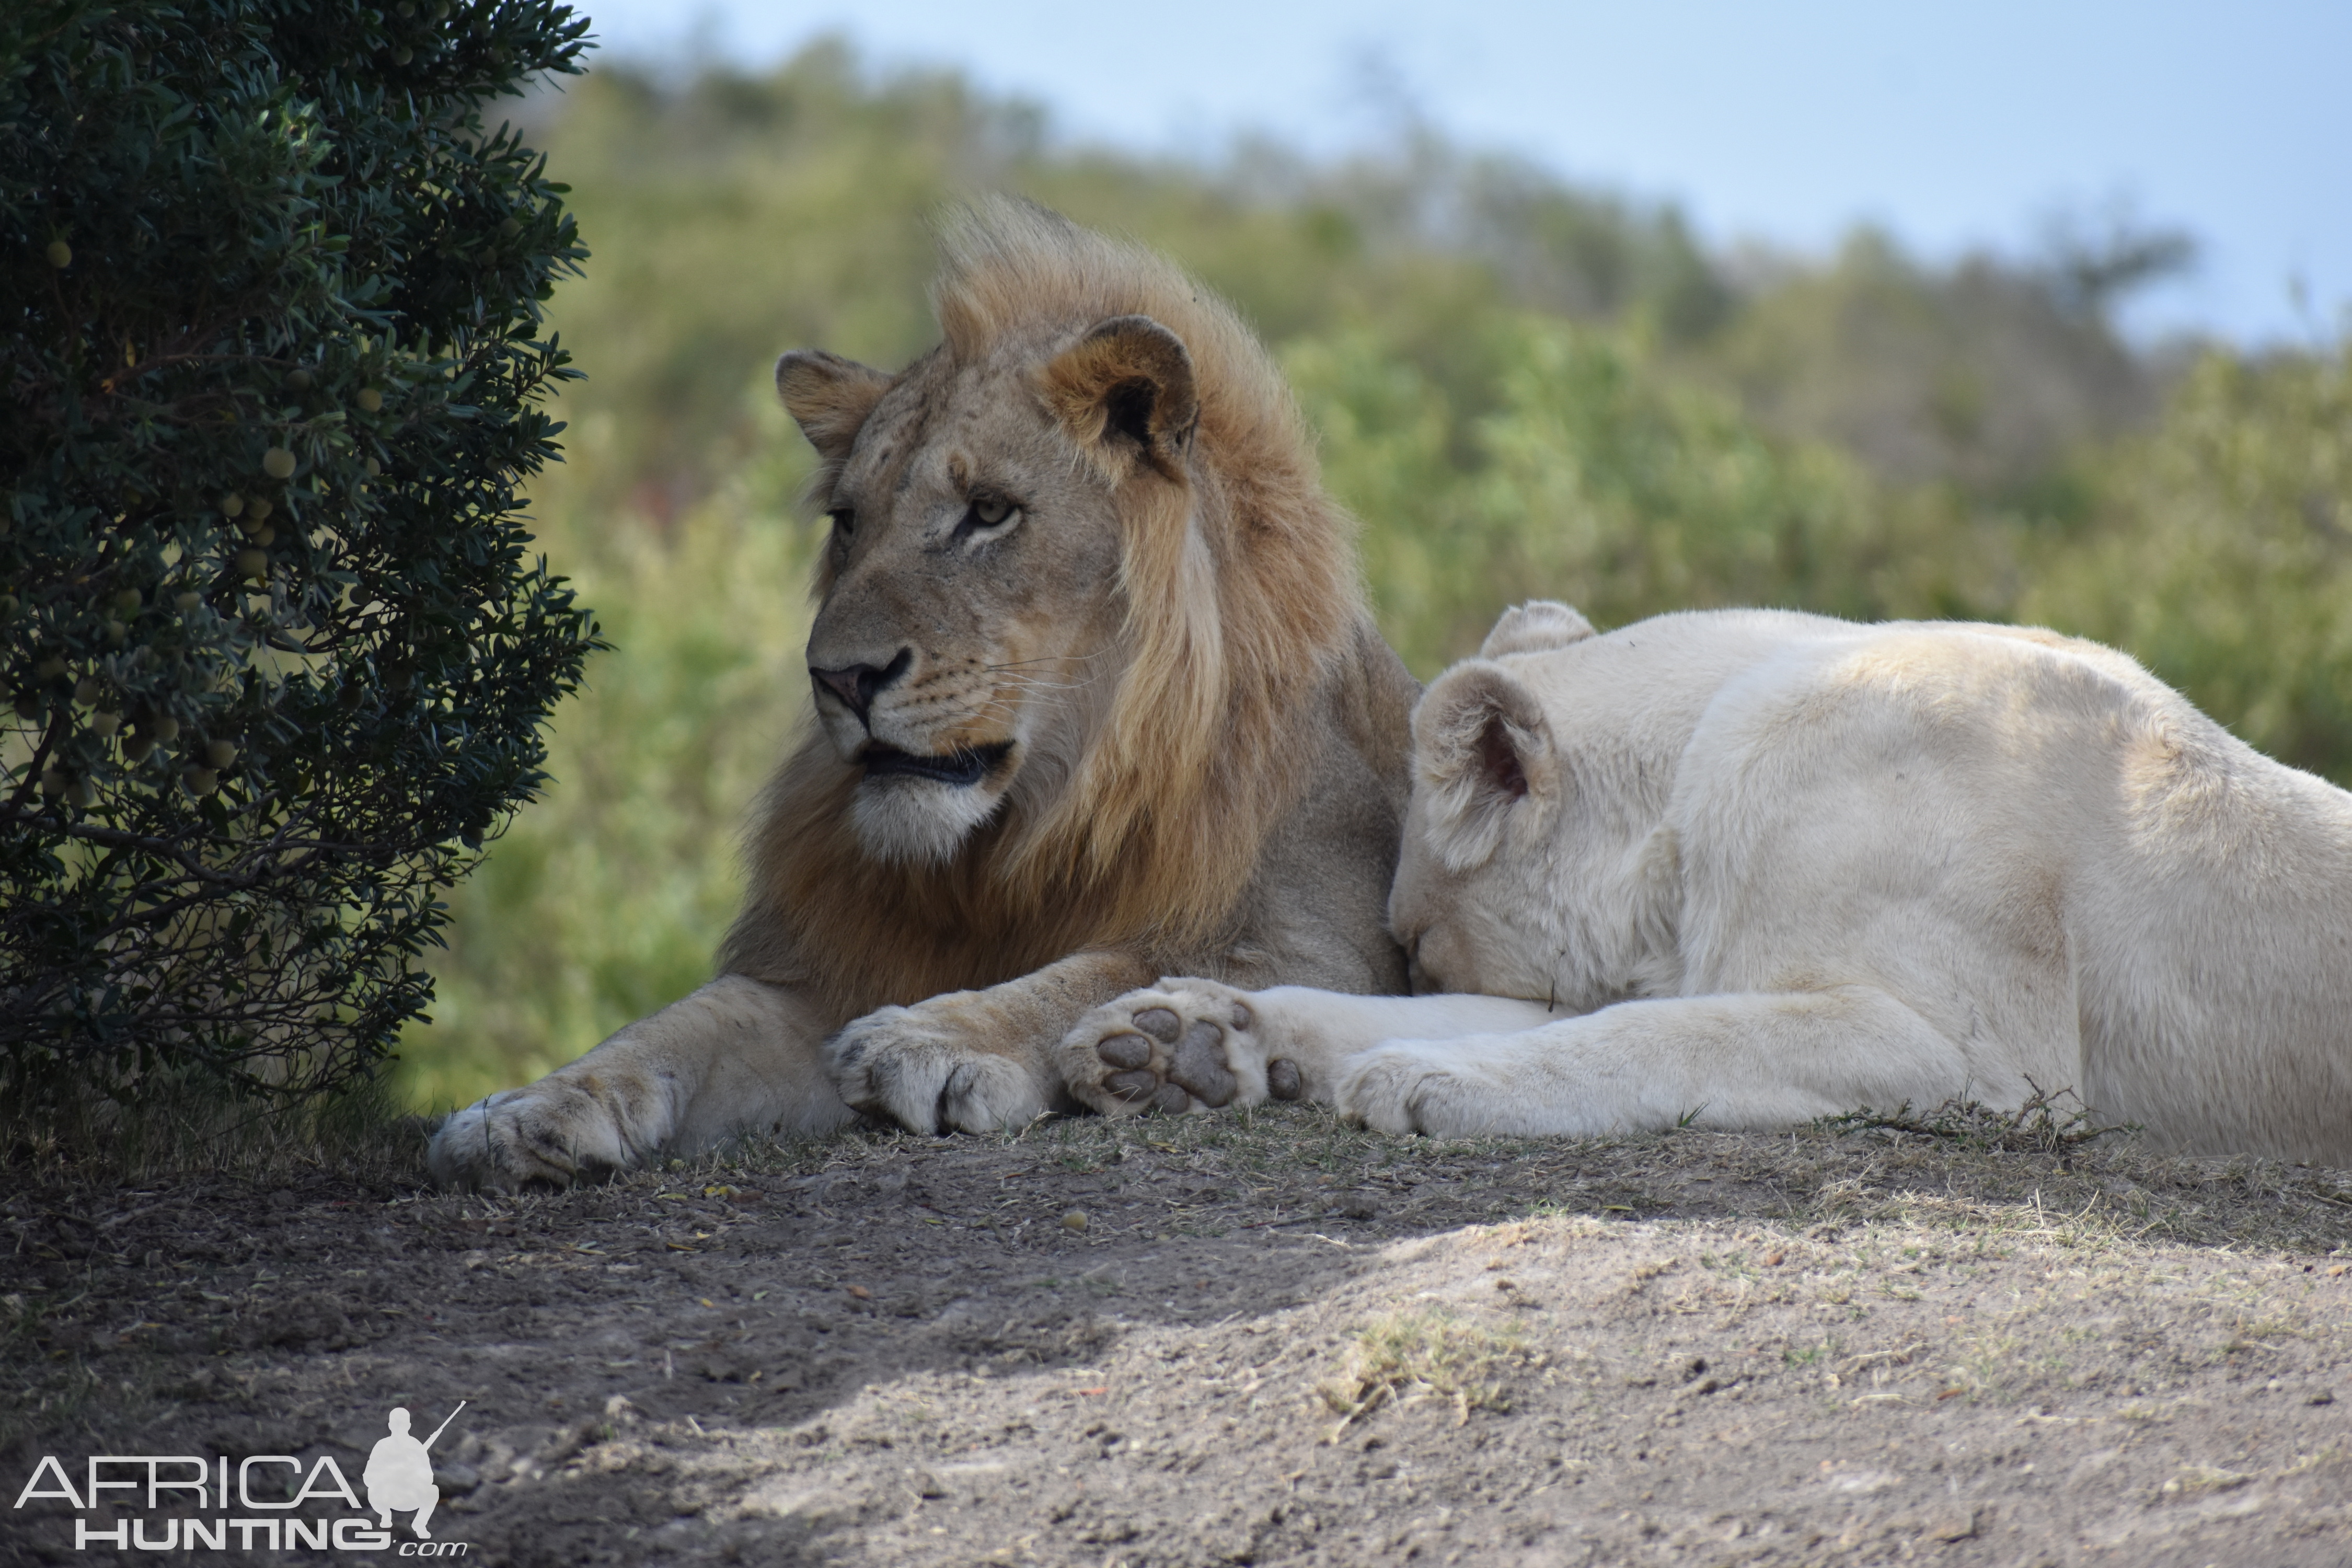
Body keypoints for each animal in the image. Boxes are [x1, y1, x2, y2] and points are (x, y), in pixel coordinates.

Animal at [427, 199, 1421, 1187]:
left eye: (989, 512)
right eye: (849, 521)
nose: (840, 677)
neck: (1022, 832)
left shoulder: (1325, 944)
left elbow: (1107, 965)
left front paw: (937, 1035)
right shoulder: (825, 969)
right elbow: (681, 1023)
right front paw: (524, 1108)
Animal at [1060, 602, 2352, 1165]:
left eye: (1421, 944)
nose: (1418, 967)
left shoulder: (1989, 1060)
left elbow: (1665, 1035)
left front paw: (1426, 1080)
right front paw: (1170, 1041)